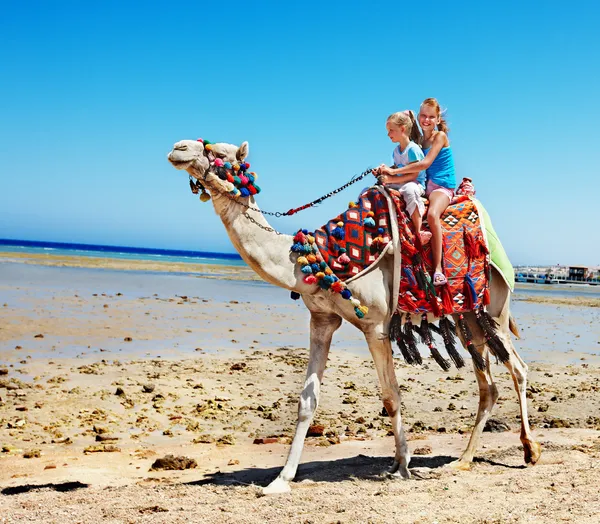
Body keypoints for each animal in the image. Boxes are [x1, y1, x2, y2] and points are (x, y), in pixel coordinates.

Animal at [166, 137, 540, 494]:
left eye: (221, 152)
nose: (178, 148)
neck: (315, 257)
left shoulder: (376, 325)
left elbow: (391, 396)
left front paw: (401, 466)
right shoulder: (321, 320)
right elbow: (307, 401)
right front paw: (281, 480)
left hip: (495, 307)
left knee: (518, 369)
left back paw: (529, 450)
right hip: (469, 318)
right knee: (488, 385)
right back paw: (462, 461)